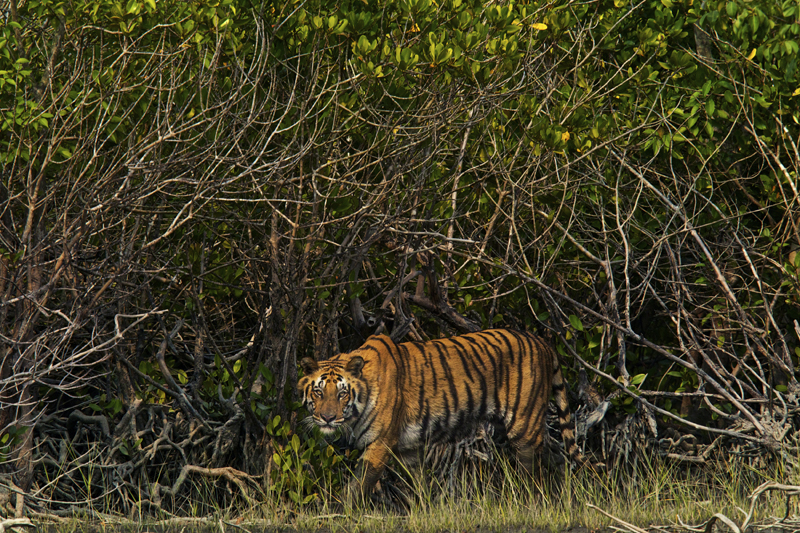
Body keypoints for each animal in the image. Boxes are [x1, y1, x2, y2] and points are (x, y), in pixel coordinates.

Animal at [296, 326, 584, 496]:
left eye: (342, 393)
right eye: (318, 392)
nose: (327, 418)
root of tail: (542, 342)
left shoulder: (380, 445)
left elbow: (356, 487)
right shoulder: (409, 449)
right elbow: (417, 489)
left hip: (524, 427)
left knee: (531, 473)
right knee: (557, 458)